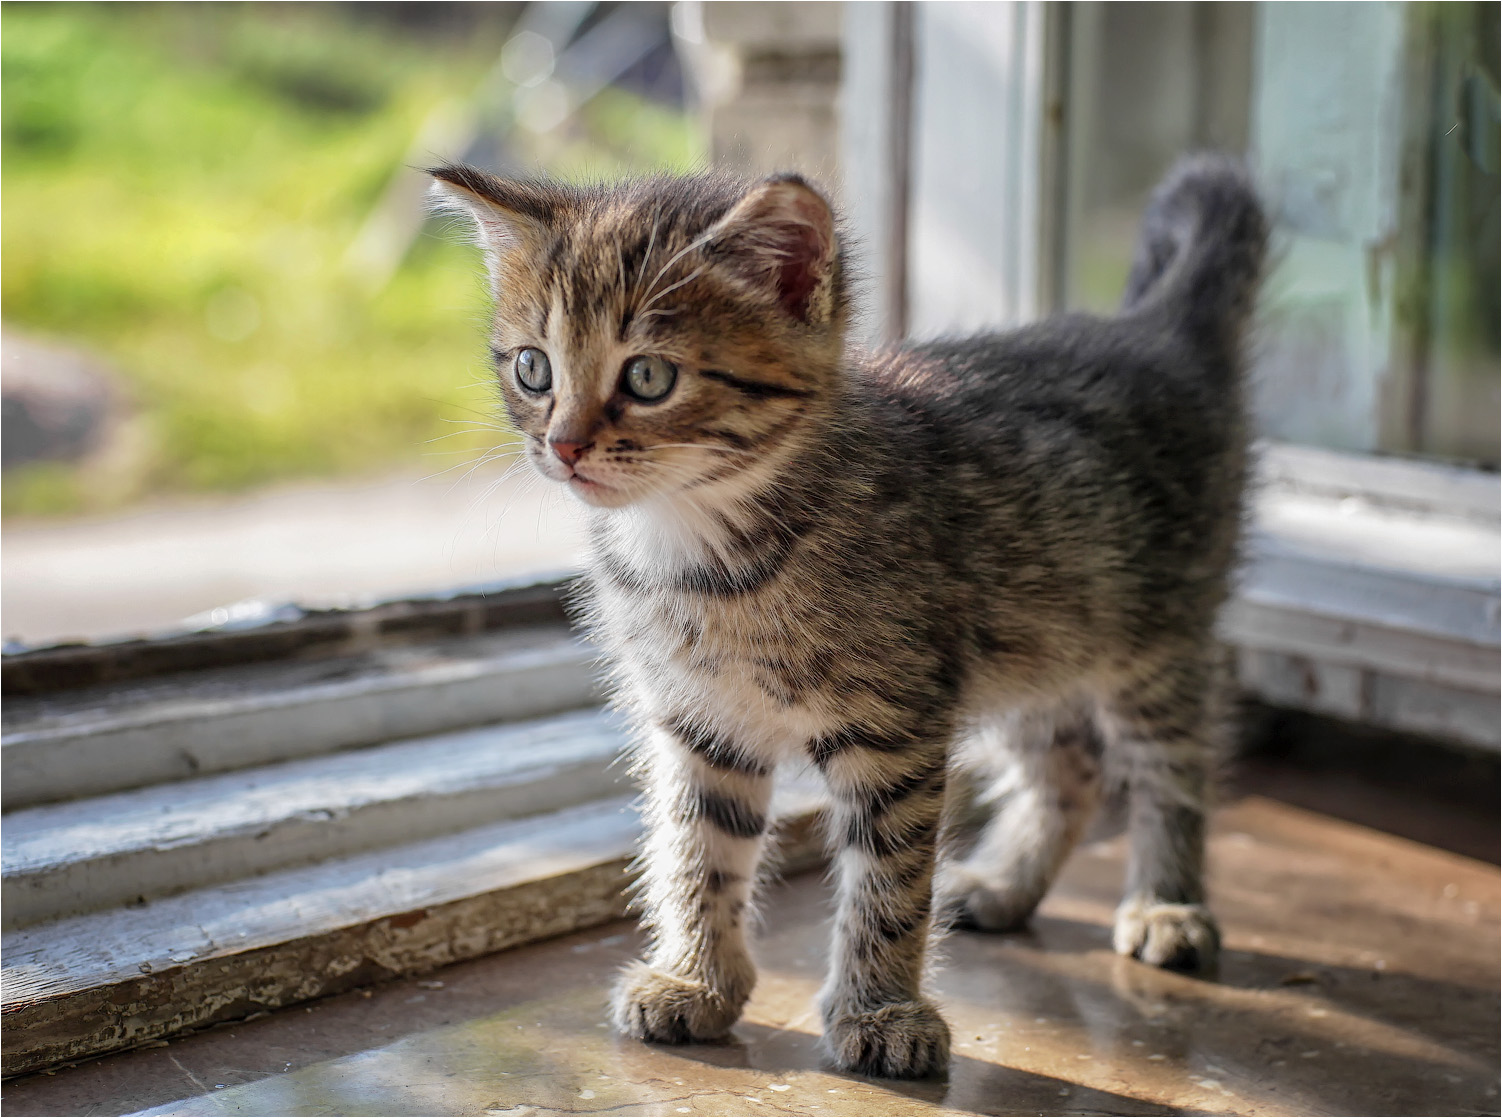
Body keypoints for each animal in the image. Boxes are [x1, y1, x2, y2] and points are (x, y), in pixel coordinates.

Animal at [426, 152, 1267, 1075]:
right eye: (533, 369)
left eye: (648, 376)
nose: (565, 447)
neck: (698, 550)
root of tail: (1153, 331)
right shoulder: (699, 720)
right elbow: (698, 850)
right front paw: (696, 980)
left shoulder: (893, 727)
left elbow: (887, 881)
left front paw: (881, 1011)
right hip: (1032, 638)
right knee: (1069, 767)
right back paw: (1007, 884)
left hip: (1153, 642)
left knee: (1171, 766)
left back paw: (1167, 904)